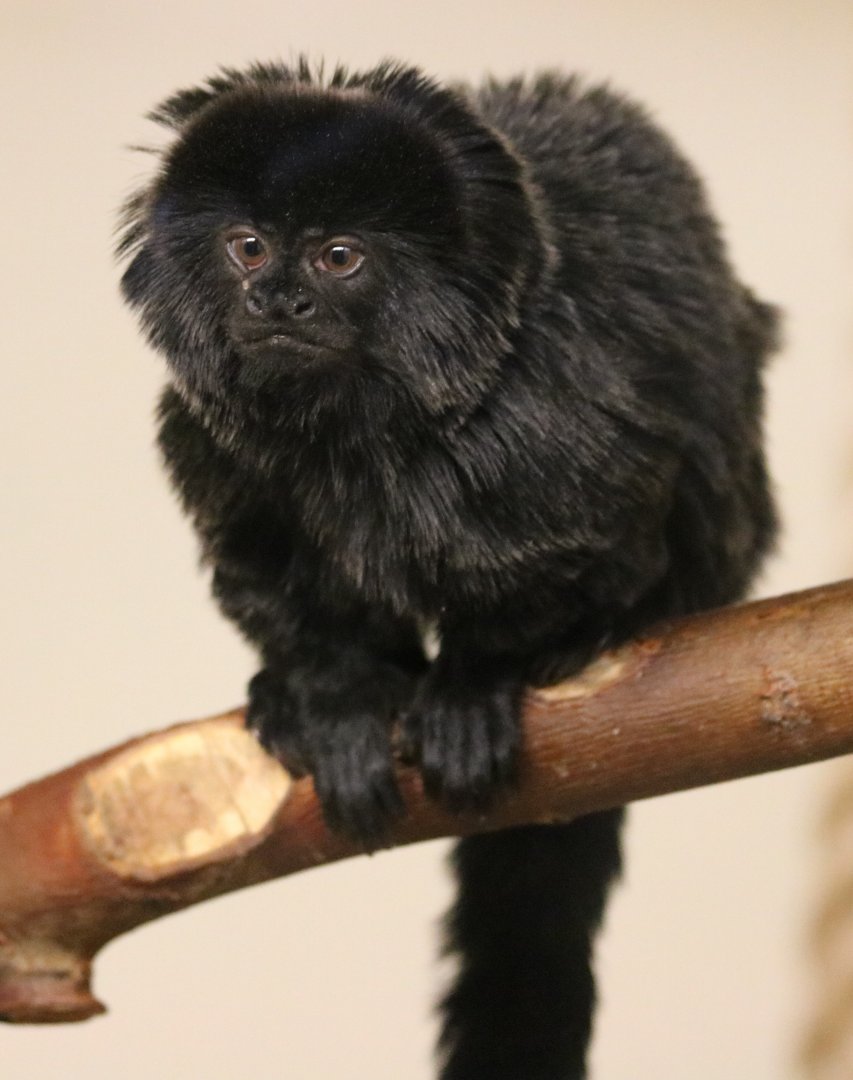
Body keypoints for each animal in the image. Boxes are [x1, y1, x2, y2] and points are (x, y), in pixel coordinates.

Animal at [118, 58, 777, 1079]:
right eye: (249, 249)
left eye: (338, 258)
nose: (276, 303)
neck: (363, 417)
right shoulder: (217, 448)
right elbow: (280, 582)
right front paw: (339, 702)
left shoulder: (553, 420)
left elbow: (573, 556)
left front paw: (475, 684)